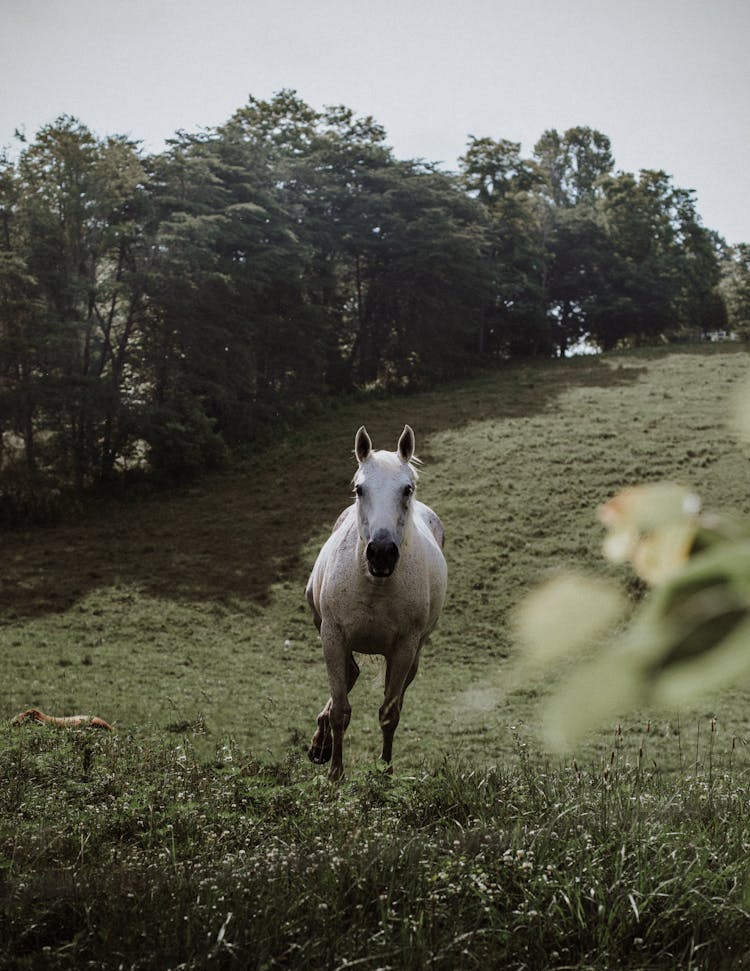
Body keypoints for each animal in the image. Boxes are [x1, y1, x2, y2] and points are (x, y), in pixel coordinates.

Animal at [308, 426, 450, 784]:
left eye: (407, 489)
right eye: (359, 489)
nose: (381, 552)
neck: (374, 585)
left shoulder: (404, 648)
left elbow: (389, 713)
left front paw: (384, 773)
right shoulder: (333, 635)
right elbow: (341, 709)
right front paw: (335, 774)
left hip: (413, 654)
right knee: (349, 677)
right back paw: (320, 745)